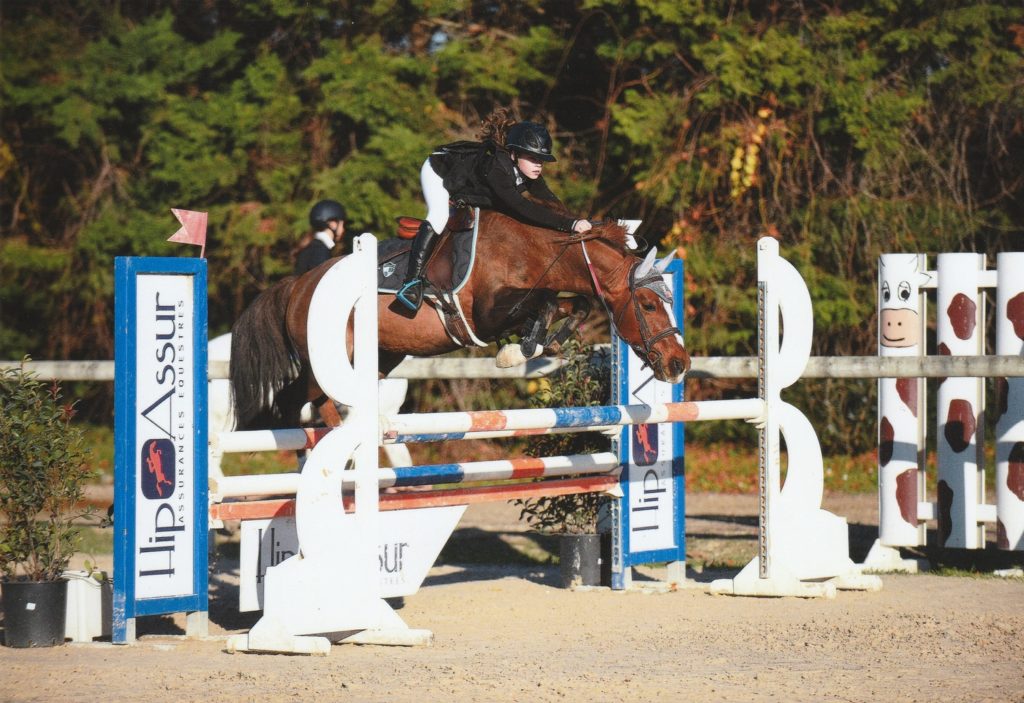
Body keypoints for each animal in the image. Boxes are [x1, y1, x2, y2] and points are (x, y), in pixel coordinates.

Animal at [229, 214, 692, 431]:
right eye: (649, 305)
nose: (678, 363)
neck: (532, 248)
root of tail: (297, 284)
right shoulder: (485, 316)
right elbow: (542, 304)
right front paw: (517, 352)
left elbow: (571, 305)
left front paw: (549, 343)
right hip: (328, 360)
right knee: (310, 401)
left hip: (380, 358)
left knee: (306, 401)